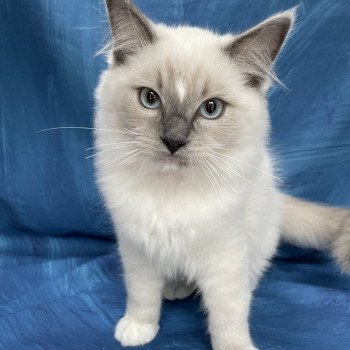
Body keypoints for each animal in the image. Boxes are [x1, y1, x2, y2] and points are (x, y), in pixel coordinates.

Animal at [93, 1, 350, 348]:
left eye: (211, 109)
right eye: (150, 99)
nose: (173, 141)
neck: (173, 192)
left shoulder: (226, 257)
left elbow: (227, 315)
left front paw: (234, 346)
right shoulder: (137, 250)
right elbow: (142, 295)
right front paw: (138, 328)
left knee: (248, 281)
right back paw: (174, 289)